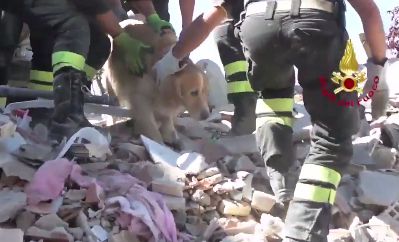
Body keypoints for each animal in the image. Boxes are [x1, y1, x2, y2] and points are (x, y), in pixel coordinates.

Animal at [106, 18, 212, 146]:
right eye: (194, 93)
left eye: (206, 92)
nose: (206, 116)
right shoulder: (140, 98)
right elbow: (150, 125)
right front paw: (157, 143)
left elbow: (166, 118)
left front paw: (169, 134)